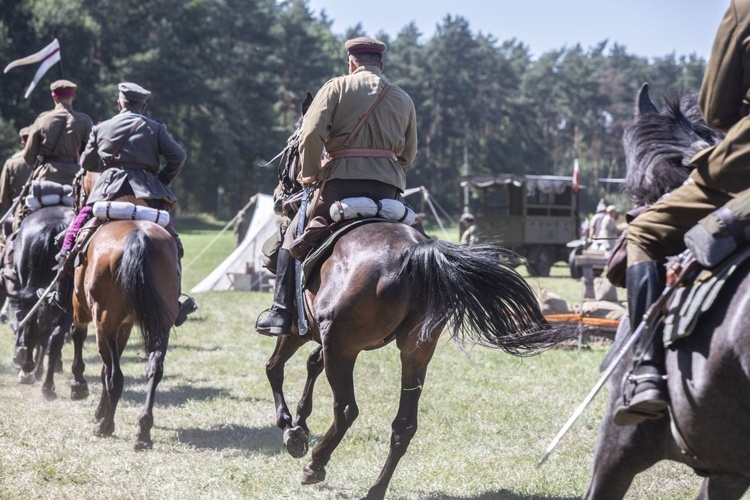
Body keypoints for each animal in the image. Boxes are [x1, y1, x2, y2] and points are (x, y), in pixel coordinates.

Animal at [67, 172, 182, 450]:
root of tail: (138, 237)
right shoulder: (126, 325)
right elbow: (106, 368)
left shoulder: (82, 310)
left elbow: (79, 336)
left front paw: (79, 386)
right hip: (160, 324)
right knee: (153, 370)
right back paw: (143, 430)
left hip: (103, 321)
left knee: (116, 376)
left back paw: (106, 426)